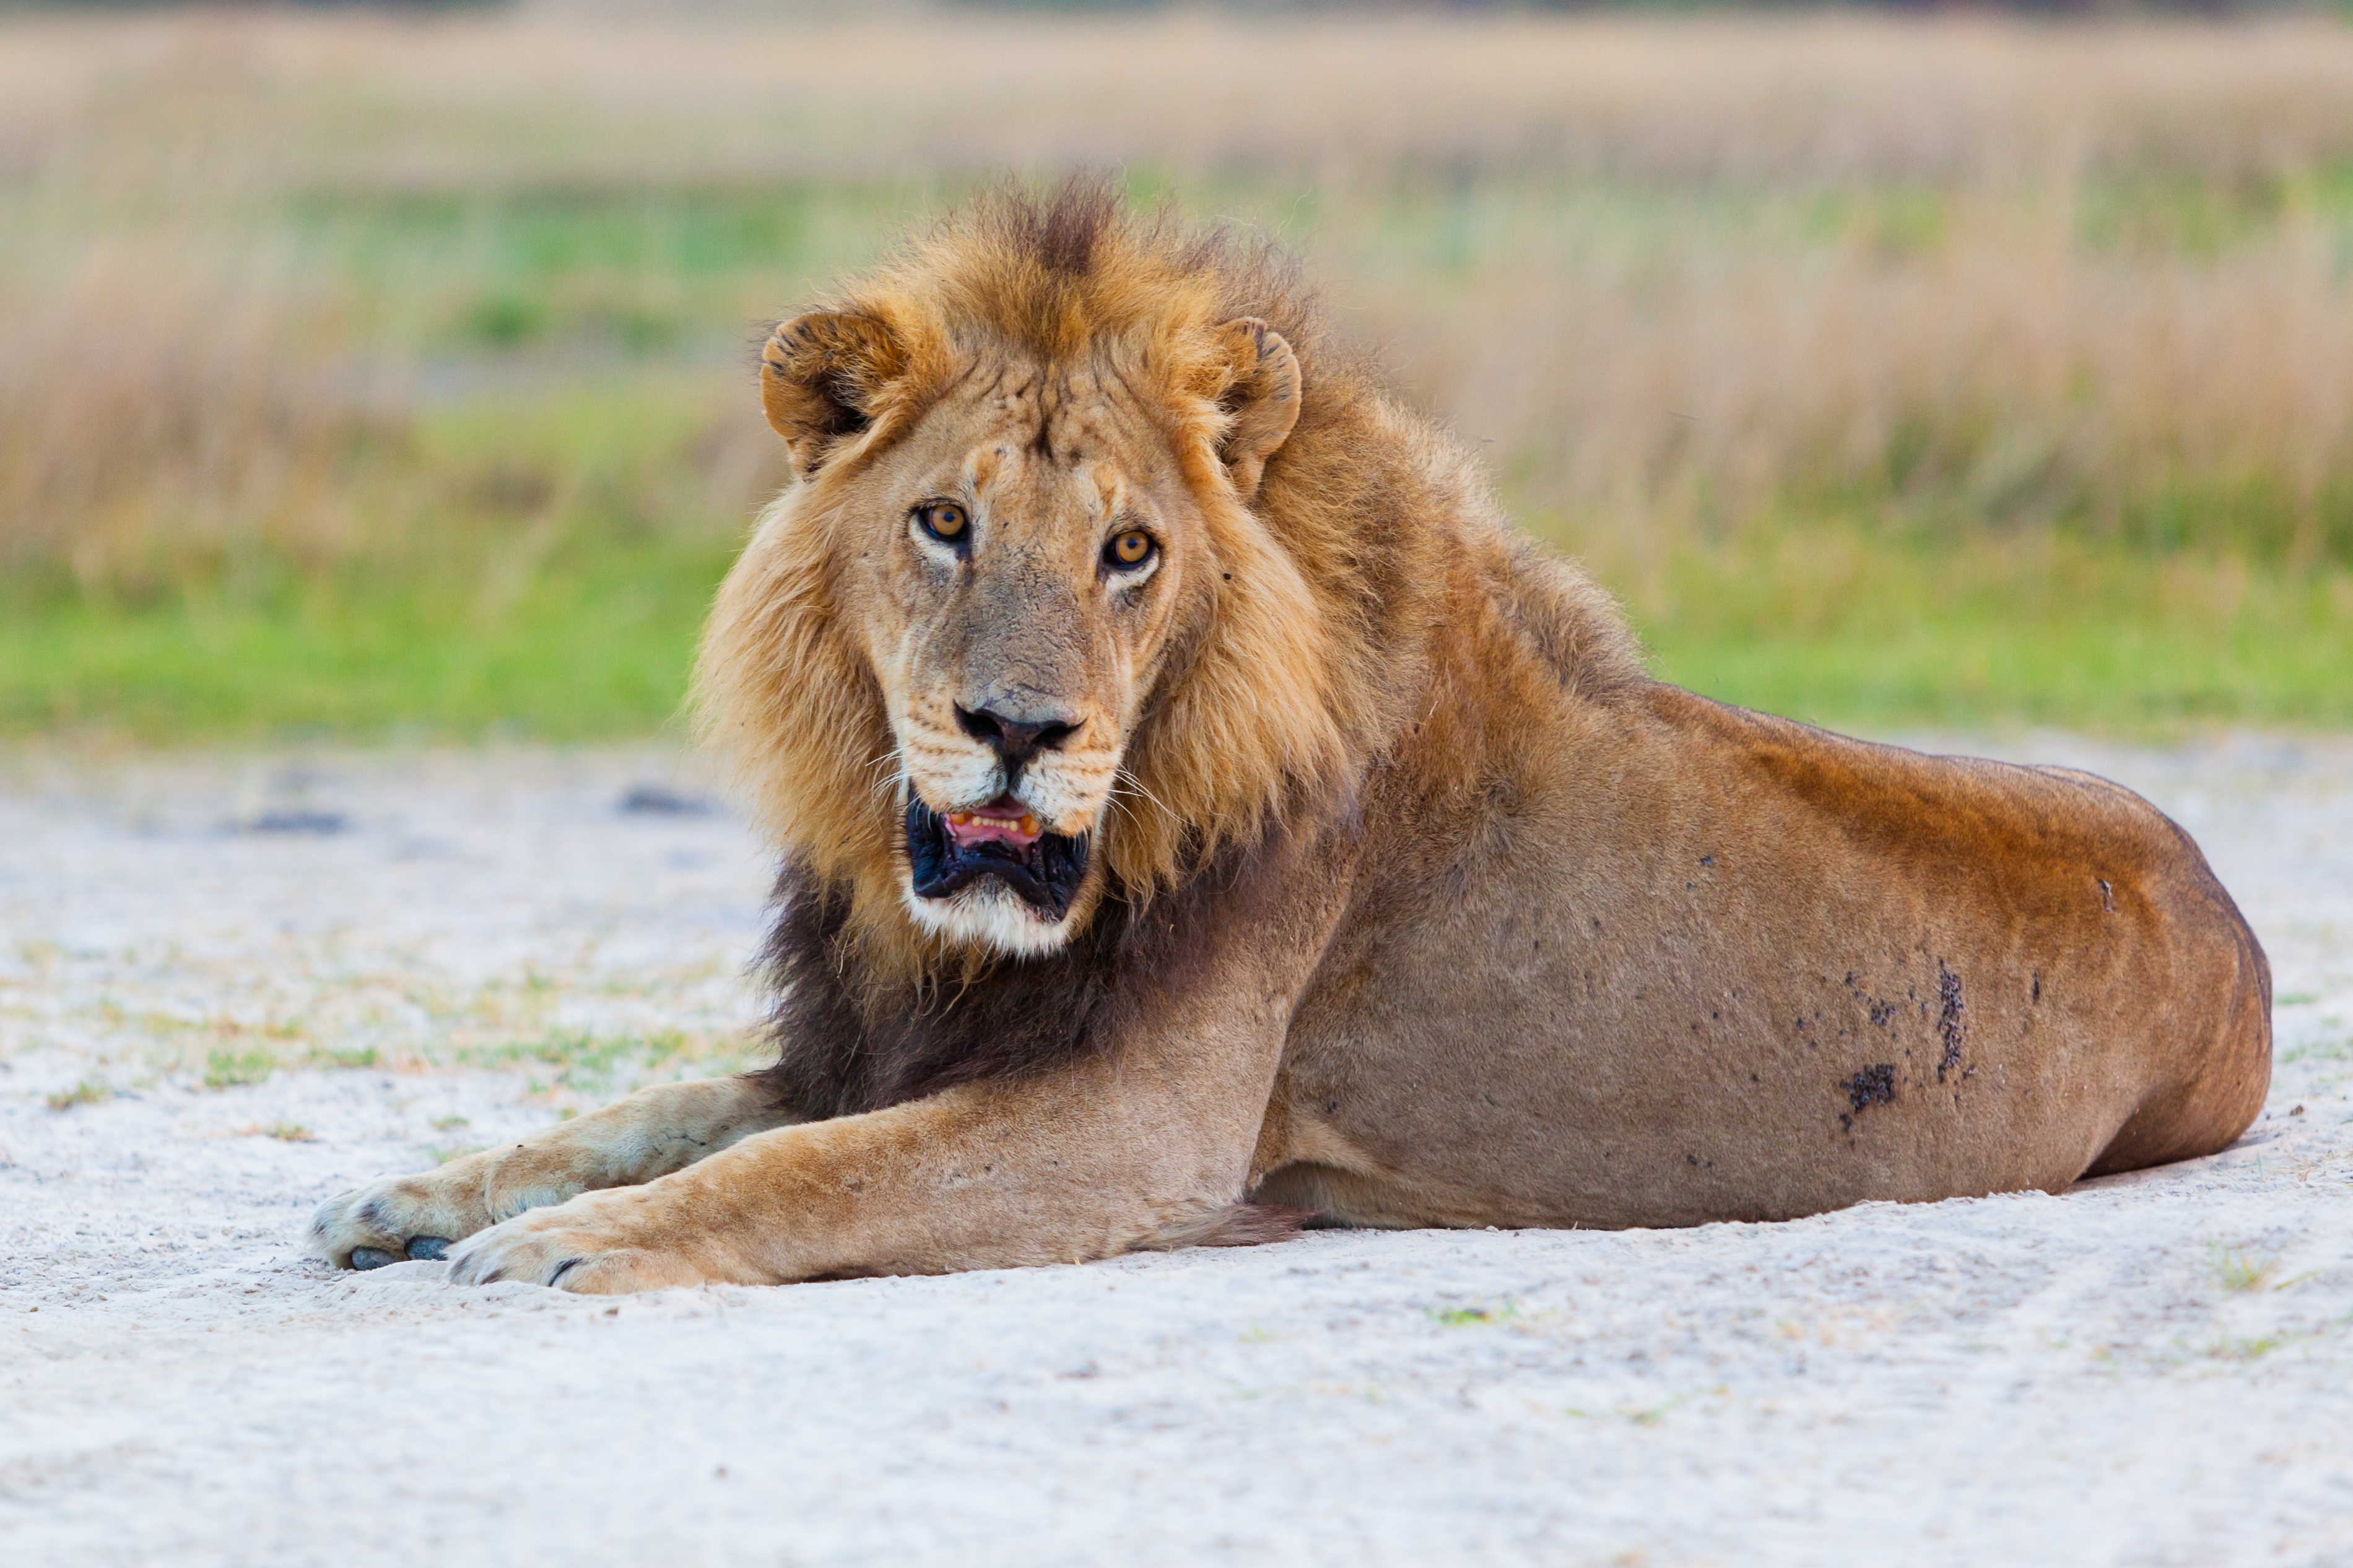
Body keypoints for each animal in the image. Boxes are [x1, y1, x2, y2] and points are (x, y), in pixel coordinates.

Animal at [308, 177, 2259, 1297]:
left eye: (1129, 551)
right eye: (943, 523)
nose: (1015, 728)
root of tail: (2225, 893)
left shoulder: (1144, 1129)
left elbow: (795, 1164)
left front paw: (561, 1245)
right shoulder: (876, 1036)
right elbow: (651, 1109)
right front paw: (420, 1194)